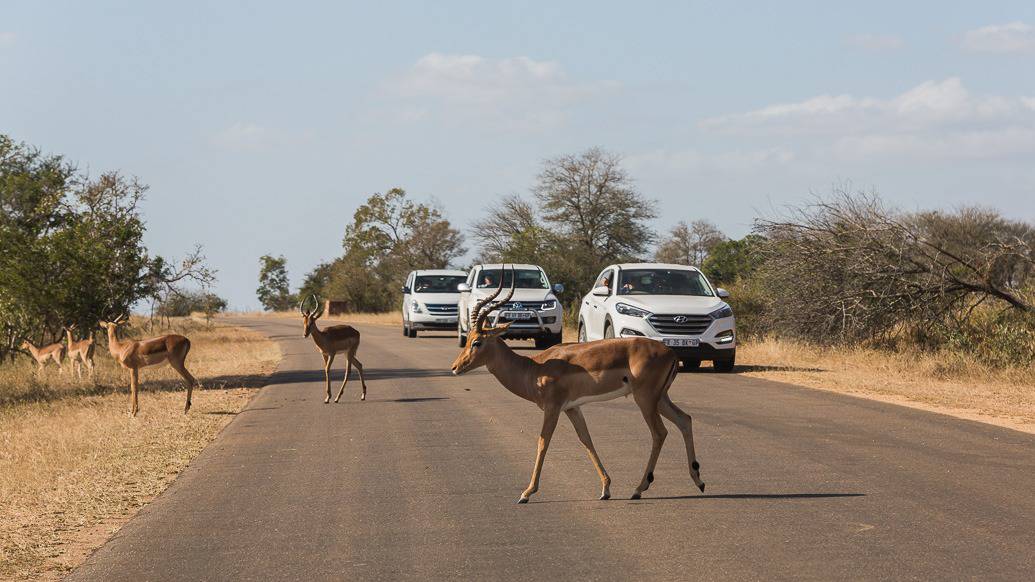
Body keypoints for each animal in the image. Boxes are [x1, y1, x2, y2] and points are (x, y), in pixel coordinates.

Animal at [451, 265, 703, 501]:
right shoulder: (572, 408)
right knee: (685, 420)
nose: (454, 367)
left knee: (660, 432)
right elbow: (586, 440)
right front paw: (605, 488)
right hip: (660, 398)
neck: (535, 368)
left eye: (477, 342)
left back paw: (639, 489)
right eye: (468, 339)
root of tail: (671, 352)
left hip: (645, 398)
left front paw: (527, 492)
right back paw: (698, 481)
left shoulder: (553, 408)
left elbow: (543, 442)